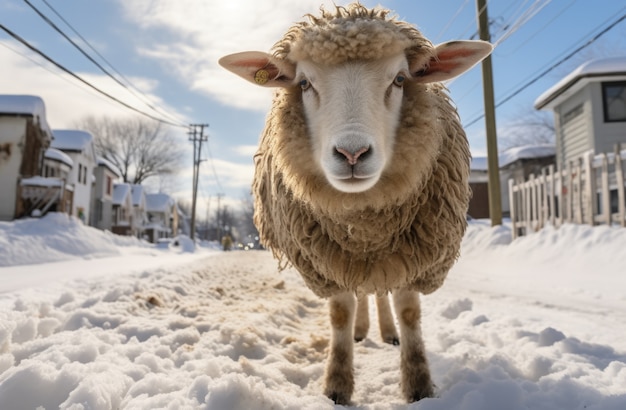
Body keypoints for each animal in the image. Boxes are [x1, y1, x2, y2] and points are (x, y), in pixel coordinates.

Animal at [219, 3, 492, 404]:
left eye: (400, 79)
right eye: (304, 83)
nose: (352, 153)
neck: (364, 226)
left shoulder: (418, 253)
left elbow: (408, 311)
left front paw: (418, 385)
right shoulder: (326, 262)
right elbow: (341, 314)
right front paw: (337, 385)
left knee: (379, 293)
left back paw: (387, 332)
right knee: (364, 294)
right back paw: (363, 330)